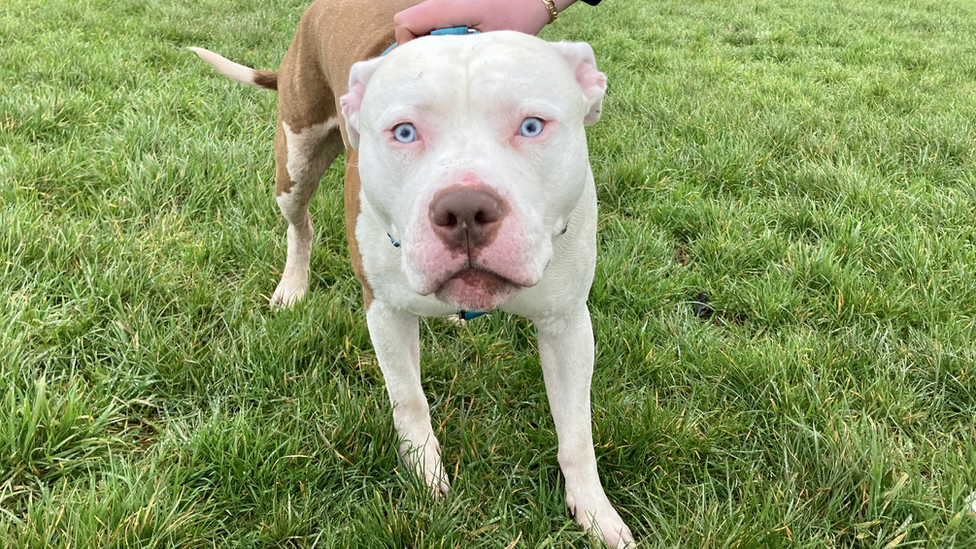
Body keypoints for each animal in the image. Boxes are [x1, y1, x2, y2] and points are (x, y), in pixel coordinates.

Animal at [191, 0, 632, 544]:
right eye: (404, 132)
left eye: (532, 126)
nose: (465, 209)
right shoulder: (386, 310)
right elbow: (409, 399)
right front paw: (425, 473)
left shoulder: (566, 322)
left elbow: (576, 430)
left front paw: (594, 511)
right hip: (294, 160)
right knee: (300, 224)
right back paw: (292, 288)